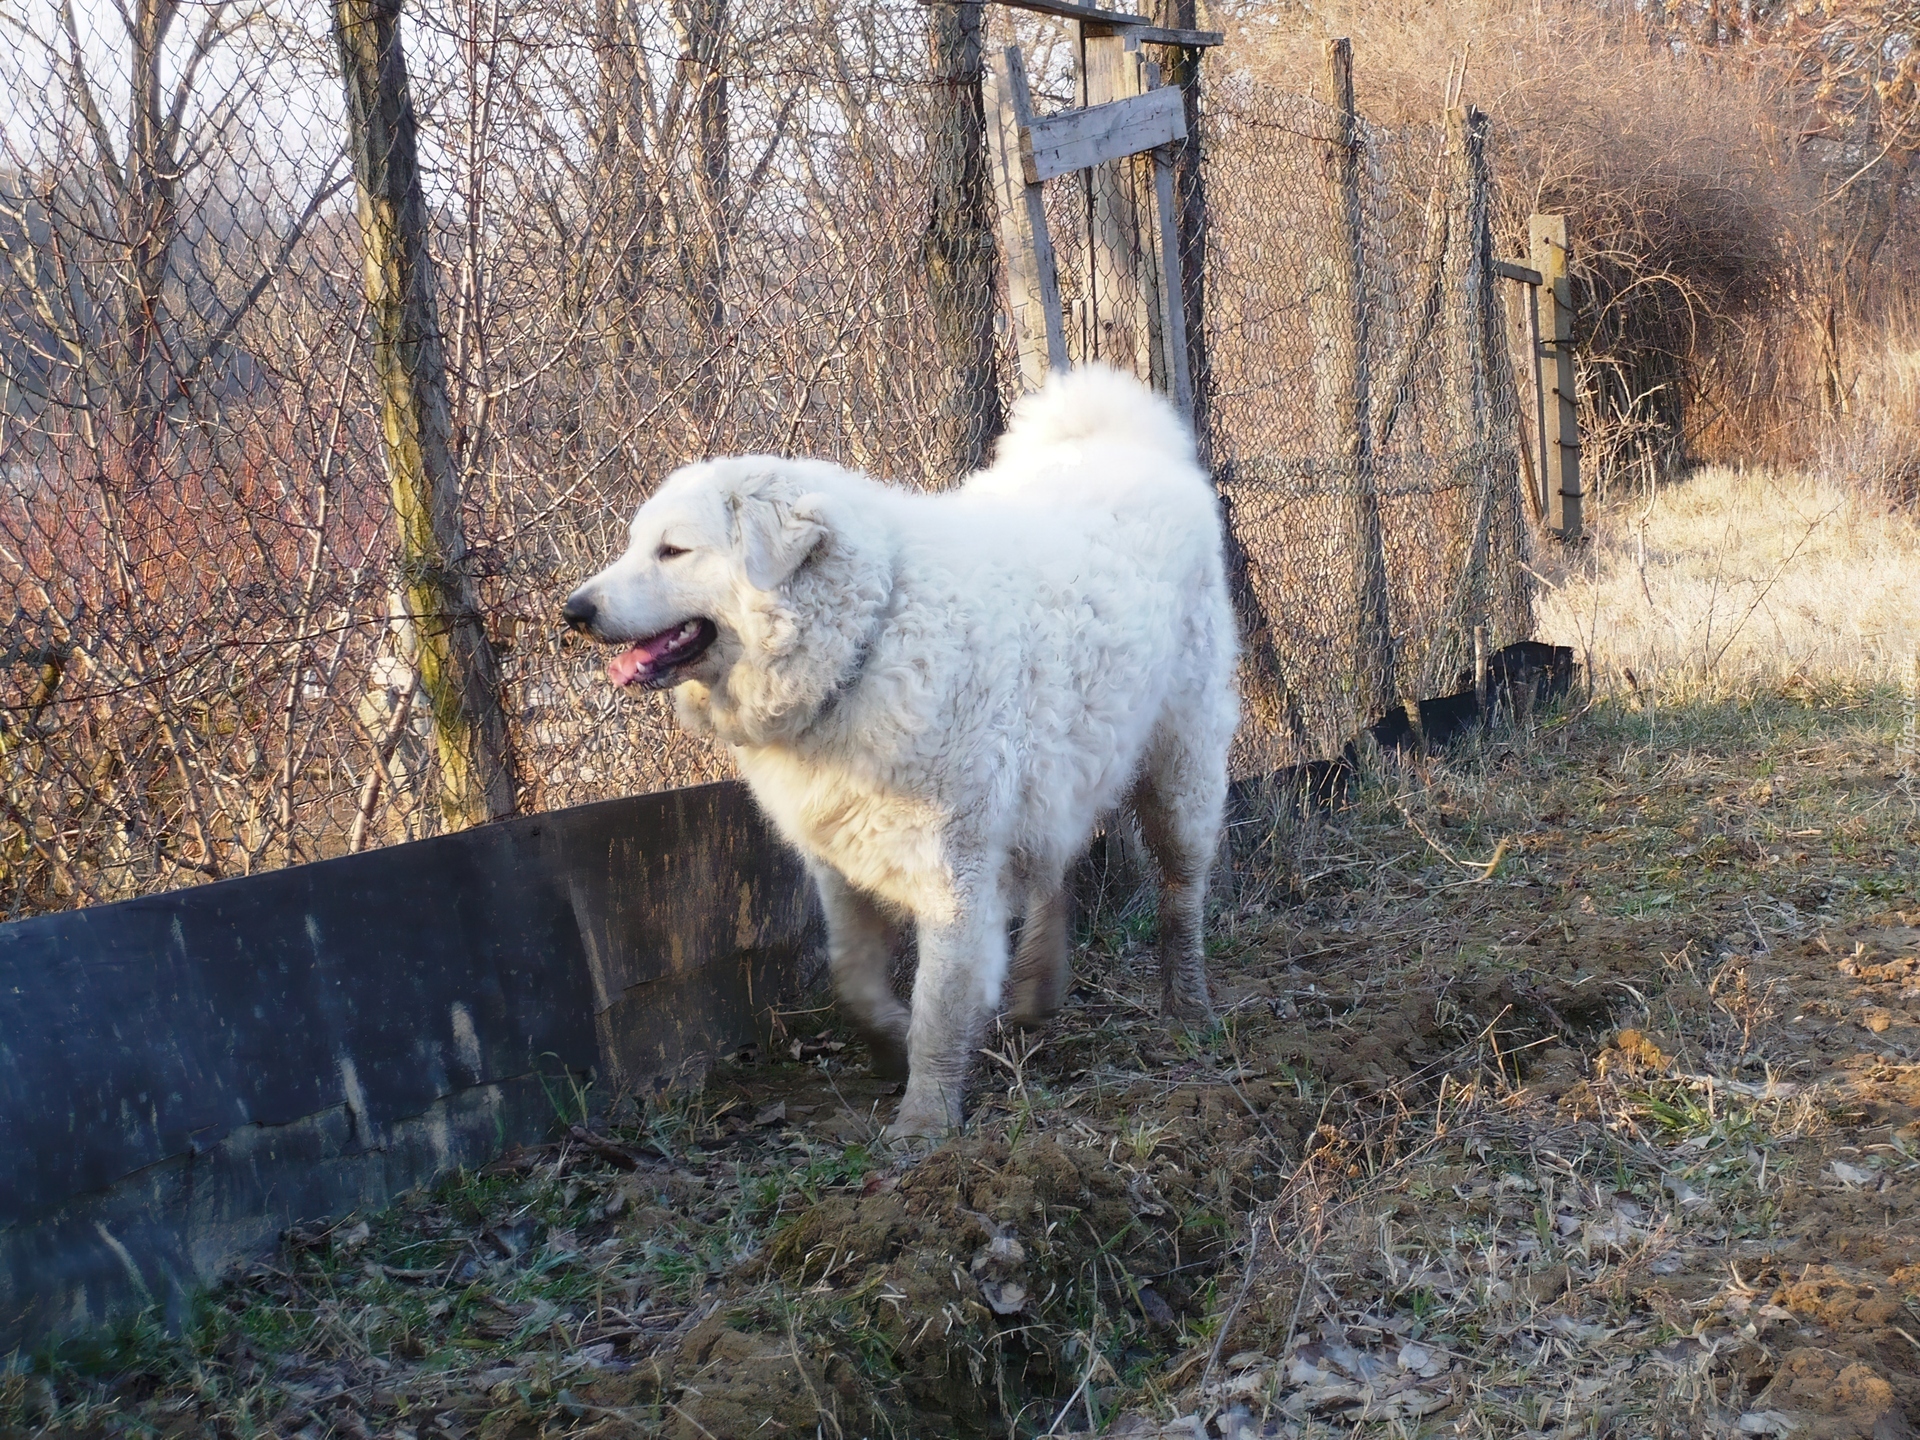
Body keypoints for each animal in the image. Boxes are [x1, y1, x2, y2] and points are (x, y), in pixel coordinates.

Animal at [560, 362, 1236, 1136]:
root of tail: (1124, 438)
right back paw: (1038, 994)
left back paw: (1187, 1007)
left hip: (1181, 773)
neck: (865, 638)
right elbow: (852, 978)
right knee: (1055, 878)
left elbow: (938, 1007)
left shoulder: (953, 874)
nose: (573, 612)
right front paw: (888, 1046)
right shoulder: (839, 863)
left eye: (673, 550)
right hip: (1055, 785)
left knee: (1181, 894)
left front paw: (925, 1121)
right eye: (636, 545)